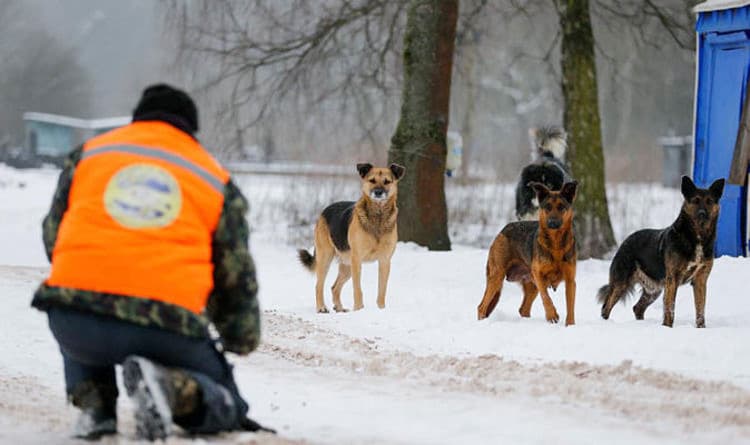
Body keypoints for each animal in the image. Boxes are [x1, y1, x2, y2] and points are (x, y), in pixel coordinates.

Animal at [300, 162, 406, 312]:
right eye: (372, 180)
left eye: (387, 182)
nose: (378, 193)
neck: (378, 216)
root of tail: (325, 210)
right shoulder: (357, 260)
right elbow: (358, 289)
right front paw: (359, 309)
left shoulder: (385, 261)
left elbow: (382, 290)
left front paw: (381, 309)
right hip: (326, 258)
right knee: (318, 285)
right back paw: (321, 307)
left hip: (347, 266)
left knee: (334, 287)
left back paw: (339, 308)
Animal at [478, 182, 580, 324]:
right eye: (547, 207)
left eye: (561, 207)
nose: (552, 222)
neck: (556, 244)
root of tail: (502, 230)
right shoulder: (539, 276)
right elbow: (546, 297)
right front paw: (552, 315)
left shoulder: (570, 281)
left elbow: (570, 307)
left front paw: (570, 325)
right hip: (497, 277)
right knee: (482, 306)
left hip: (530, 285)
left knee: (523, 309)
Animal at [600, 176, 728, 326]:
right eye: (695, 200)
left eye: (709, 201)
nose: (702, 214)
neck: (696, 237)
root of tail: (625, 241)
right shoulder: (672, 279)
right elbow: (670, 307)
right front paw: (667, 327)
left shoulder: (700, 280)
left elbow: (700, 309)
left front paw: (701, 328)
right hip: (621, 283)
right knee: (606, 306)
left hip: (654, 290)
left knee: (637, 308)